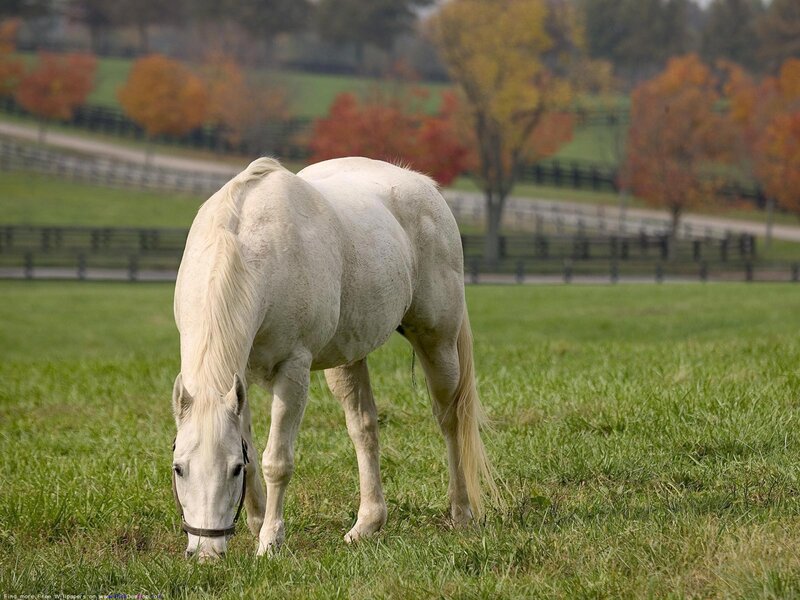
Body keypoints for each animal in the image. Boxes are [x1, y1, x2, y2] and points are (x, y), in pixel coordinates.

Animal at [171, 156, 495, 560]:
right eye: (178, 469)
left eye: (232, 470)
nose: (206, 553)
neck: (248, 247)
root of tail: (424, 185)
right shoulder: (238, 378)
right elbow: (254, 449)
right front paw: (257, 524)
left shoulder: (293, 371)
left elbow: (277, 460)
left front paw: (270, 542)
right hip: (348, 359)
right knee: (364, 428)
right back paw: (367, 524)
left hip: (438, 342)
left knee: (451, 421)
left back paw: (461, 512)